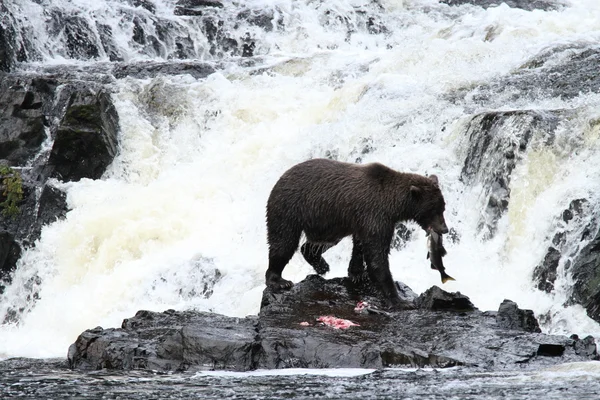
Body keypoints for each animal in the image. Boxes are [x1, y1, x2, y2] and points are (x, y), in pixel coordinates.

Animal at [264, 158, 448, 308]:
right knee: (283, 243)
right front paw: (400, 301)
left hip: (327, 222)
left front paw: (357, 273)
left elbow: (360, 246)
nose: (444, 229)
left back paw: (320, 264)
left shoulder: (363, 220)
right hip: (290, 209)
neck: (393, 205)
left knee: (322, 241)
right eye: (434, 210)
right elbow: (377, 256)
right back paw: (279, 281)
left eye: (443, 207)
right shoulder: (376, 216)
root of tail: (280, 177)